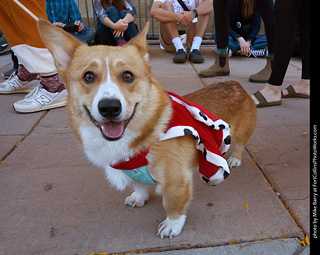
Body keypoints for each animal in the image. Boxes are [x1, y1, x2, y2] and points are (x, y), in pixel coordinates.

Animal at [38, 19, 258, 239]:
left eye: (128, 76)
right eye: (88, 76)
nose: (109, 107)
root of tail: (236, 84)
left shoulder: (175, 183)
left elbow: (173, 206)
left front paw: (171, 225)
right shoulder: (132, 172)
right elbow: (140, 186)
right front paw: (138, 198)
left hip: (241, 134)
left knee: (240, 145)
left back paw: (235, 159)